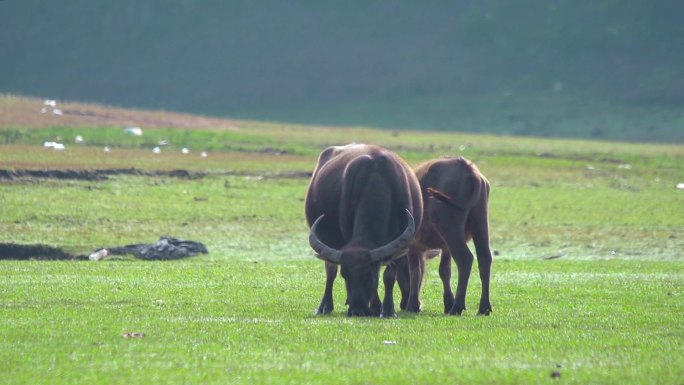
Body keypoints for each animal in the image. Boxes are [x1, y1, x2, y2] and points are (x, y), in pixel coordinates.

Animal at [306, 142, 422, 316]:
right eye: (345, 275)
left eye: (369, 275)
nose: (357, 310)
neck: (377, 177)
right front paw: (375, 307)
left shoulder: (402, 244)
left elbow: (389, 276)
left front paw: (388, 310)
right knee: (330, 271)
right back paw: (325, 306)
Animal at [390, 156, 492, 316]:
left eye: (401, 271)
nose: (403, 304)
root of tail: (468, 169)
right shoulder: (445, 248)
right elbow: (444, 271)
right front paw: (448, 302)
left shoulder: (413, 246)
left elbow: (415, 272)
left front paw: (413, 305)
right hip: (480, 223)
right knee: (485, 258)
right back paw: (484, 307)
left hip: (451, 230)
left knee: (465, 259)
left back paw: (458, 306)